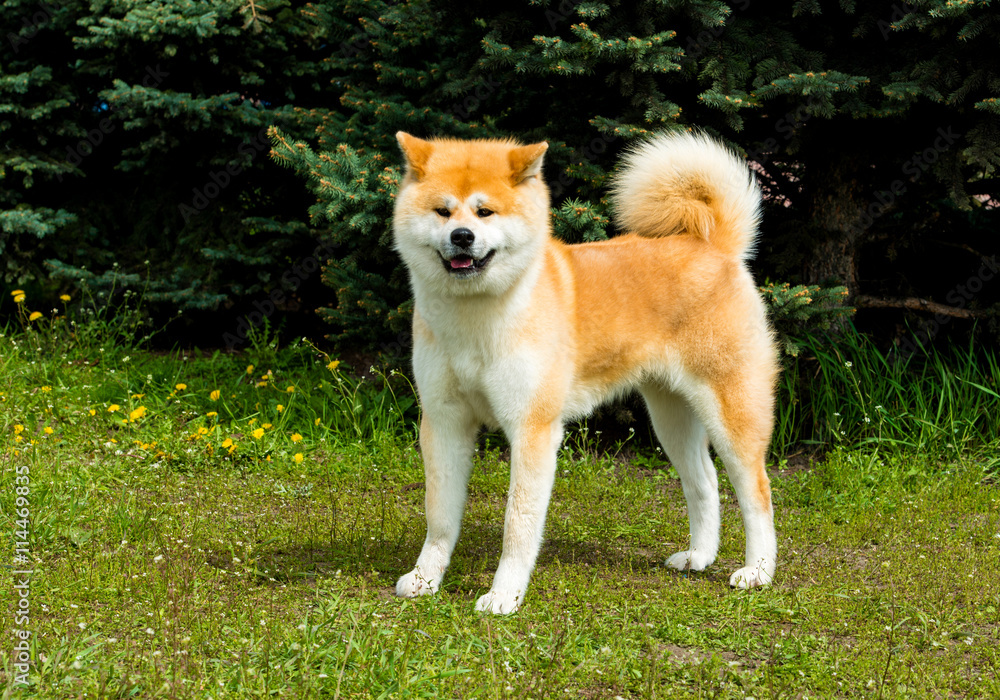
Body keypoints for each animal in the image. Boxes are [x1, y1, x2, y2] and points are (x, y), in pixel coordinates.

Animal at [390, 130, 780, 612]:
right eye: (442, 211)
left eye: (485, 211)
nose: (462, 236)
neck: (476, 319)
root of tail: (715, 246)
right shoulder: (443, 421)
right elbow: (440, 515)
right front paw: (425, 578)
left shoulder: (532, 428)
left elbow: (517, 524)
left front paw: (504, 595)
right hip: (670, 417)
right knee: (704, 482)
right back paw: (698, 556)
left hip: (732, 412)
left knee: (757, 494)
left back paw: (758, 571)